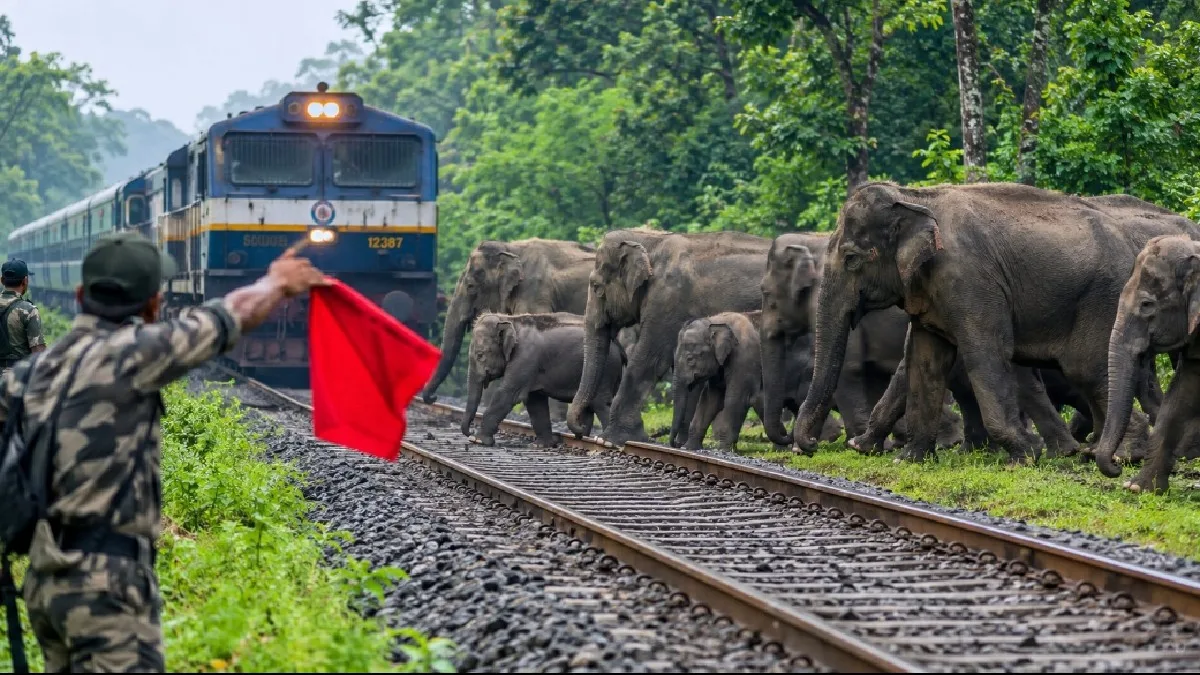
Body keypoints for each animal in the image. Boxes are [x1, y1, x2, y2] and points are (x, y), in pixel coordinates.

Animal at [462, 312, 623, 447]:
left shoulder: (525, 357)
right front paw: (541, 445)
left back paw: (605, 442)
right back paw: (583, 437)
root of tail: (619, 346)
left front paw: (477, 440)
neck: (510, 320)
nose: (470, 431)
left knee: (601, 404)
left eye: (480, 355)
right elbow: (535, 401)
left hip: (607, 370)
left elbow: (508, 394)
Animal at [568, 228, 774, 448]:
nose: (581, 430)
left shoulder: (667, 302)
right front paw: (680, 444)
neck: (653, 241)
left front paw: (610, 440)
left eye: (596, 286)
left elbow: (649, 359)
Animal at [793, 181, 1199, 467]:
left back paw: (1122, 456)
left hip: (1102, 299)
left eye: (851, 259)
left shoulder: (970, 280)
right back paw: (1097, 452)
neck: (916, 197)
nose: (808, 447)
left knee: (1087, 368)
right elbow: (924, 360)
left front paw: (1024, 456)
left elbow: (985, 354)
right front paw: (906, 458)